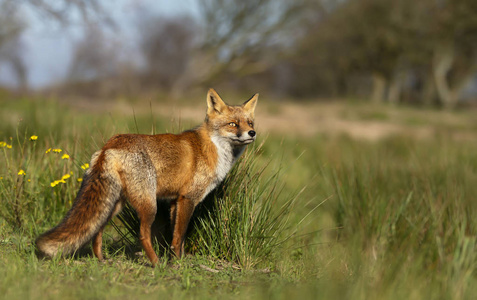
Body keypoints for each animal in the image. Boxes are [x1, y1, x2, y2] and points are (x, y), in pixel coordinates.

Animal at [35, 88, 258, 266]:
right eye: (232, 124)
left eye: (249, 122)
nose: (252, 133)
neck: (213, 148)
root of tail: (110, 143)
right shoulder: (188, 198)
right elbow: (180, 235)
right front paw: (177, 264)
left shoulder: (175, 201)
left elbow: (175, 237)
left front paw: (176, 259)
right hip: (148, 204)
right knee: (142, 235)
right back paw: (155, 263)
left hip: (116, 203)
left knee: (96, 230)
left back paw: (101, 260)